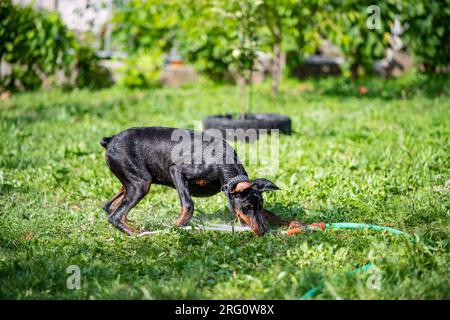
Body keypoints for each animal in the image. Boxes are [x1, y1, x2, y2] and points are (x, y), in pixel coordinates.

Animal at [100, 127, 294, 235]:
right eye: (247, 208)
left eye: (258, 206)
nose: (264, 231)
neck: (222, 161)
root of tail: (110, 140)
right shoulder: (176, 171)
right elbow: (189, 205)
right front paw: (177, 226)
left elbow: (271, 214)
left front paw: (292, 223)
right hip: (142, 183)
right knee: (115, 216)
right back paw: (140, 233)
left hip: (133, 182)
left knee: (109, 206)